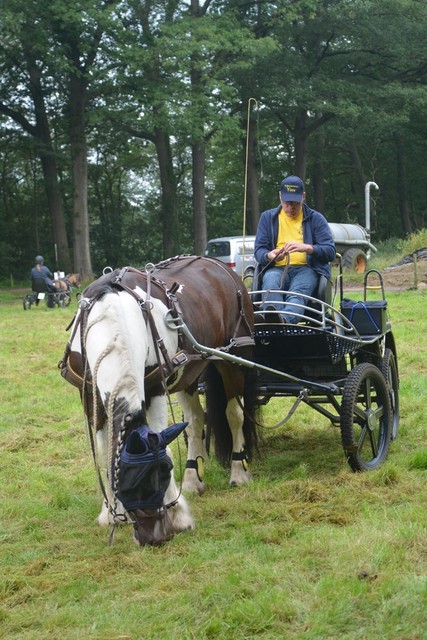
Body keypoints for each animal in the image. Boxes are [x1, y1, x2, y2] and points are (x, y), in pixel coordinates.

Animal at [60, 255, 258, 544]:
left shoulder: (154, 389)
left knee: (235, 415)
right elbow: (106, 450)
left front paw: (179, 515)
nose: (154, 537)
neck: (114, 319)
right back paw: (192, 480)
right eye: (129, 484)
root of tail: (219, 265)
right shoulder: (90, 397)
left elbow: (164, 444)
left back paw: (238, 472)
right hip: (189, 371)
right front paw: (111, 512)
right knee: (195, 421)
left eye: (163, 473)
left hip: (233, 359)